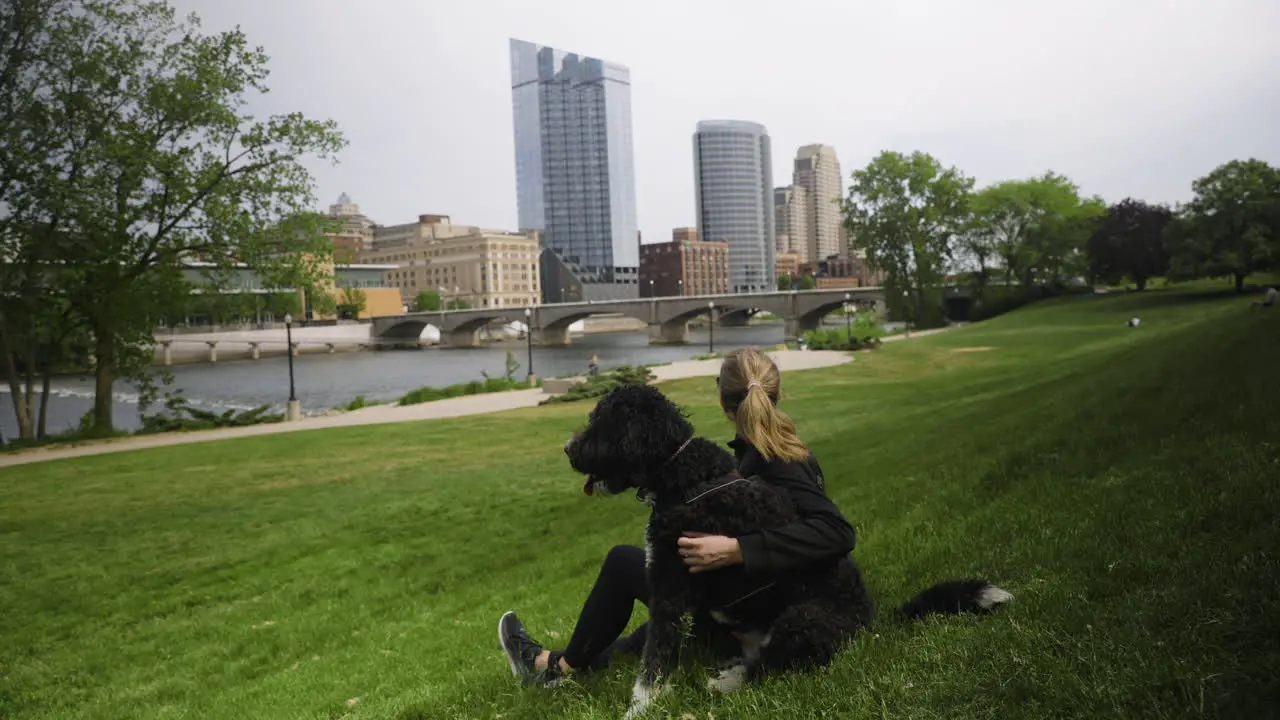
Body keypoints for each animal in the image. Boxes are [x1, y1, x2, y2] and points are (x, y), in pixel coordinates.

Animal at [565, 381, 1013, 712]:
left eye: (601, 423)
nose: (568, 449)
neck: (683, 473)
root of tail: (873, 624)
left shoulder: (671, 591)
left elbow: (653, 664)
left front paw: (639, 708)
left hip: (803, 620)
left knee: (769, 670)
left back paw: (728, 684)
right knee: (760, 662)